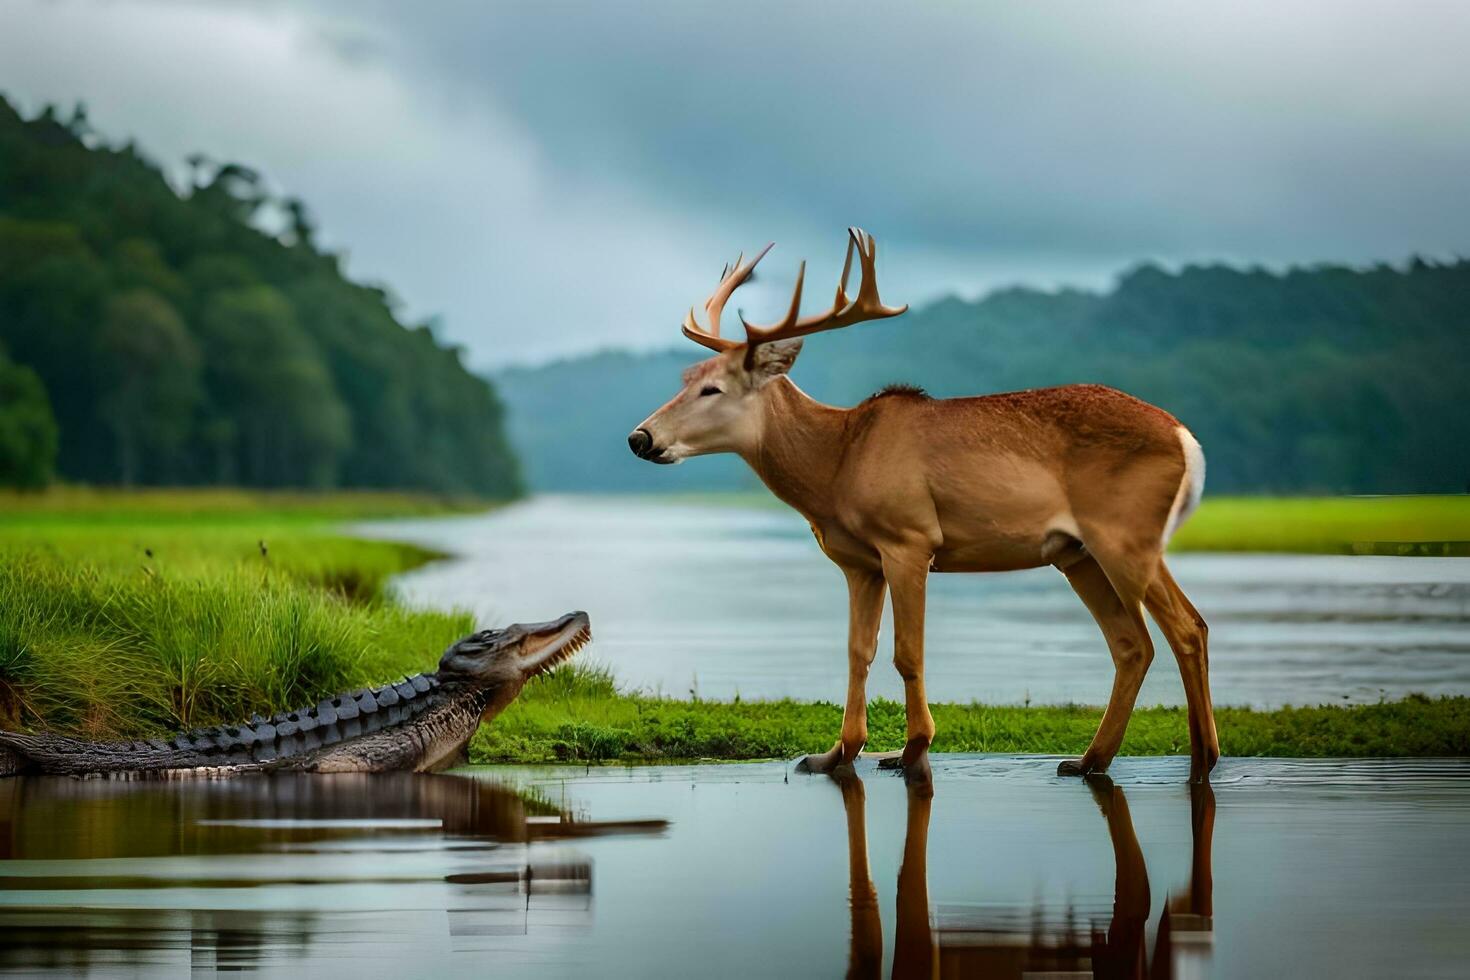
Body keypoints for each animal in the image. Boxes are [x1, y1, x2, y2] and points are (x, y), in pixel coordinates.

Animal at [632, 230, 1217, 787]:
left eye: (713, 389)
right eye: (686, 379)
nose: (641, 438)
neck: (836, 465)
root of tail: (1187, 438)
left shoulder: (909, 539)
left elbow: (906, 652)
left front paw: (914, 752)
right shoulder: (859, 562)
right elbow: (858, 651)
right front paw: (836, 753)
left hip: (1125, 534)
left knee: (1186, 628)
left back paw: (1201, 762)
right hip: (1076, 553)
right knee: (1132, 643)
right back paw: (1090, 760)